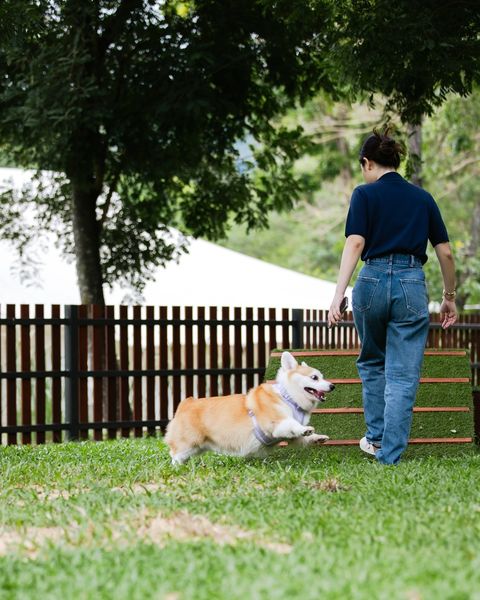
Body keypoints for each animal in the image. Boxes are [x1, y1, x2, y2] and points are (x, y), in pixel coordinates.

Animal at [165, 350, 334, 466]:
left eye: (322, 376)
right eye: (314, 377)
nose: (333, 386)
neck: (289, 398)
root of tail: (186, 403)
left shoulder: (290, 436)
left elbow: (302, 437)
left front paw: (318, 437)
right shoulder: (276, 423)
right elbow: (292, 424)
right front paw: (306, 429)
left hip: (199, 446)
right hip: (188, 444)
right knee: (175, 454)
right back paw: (177, 468)